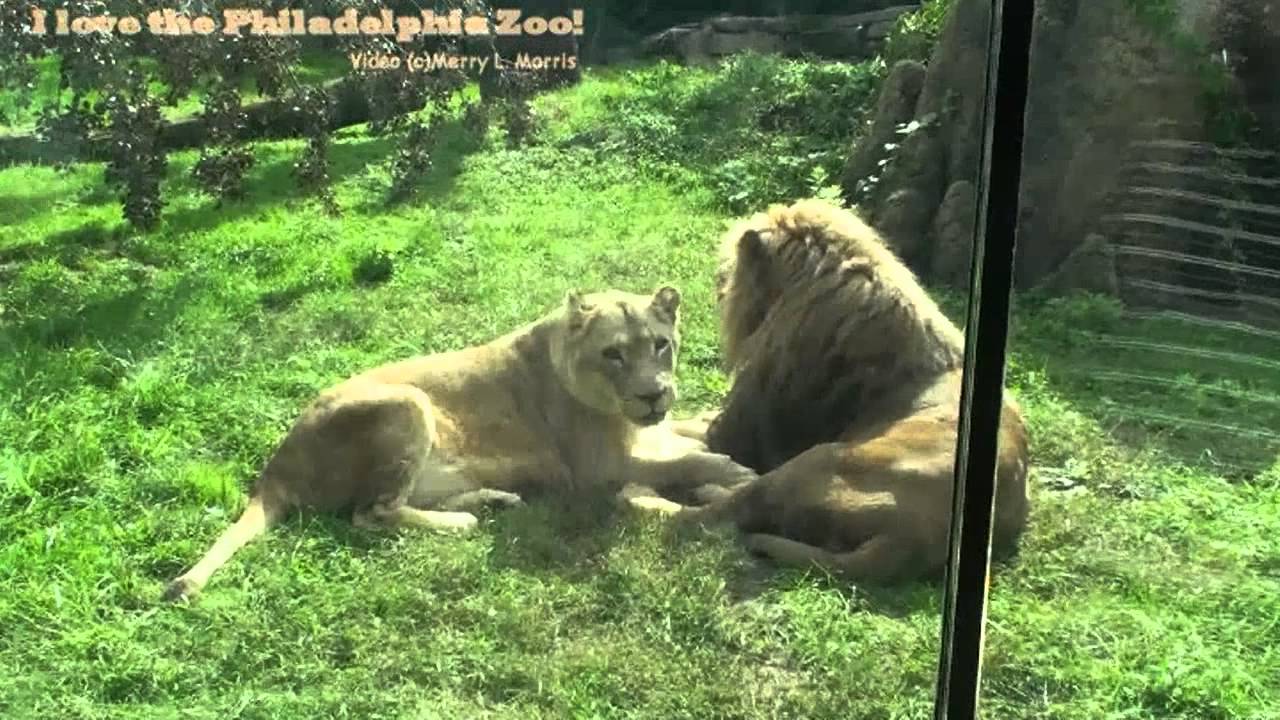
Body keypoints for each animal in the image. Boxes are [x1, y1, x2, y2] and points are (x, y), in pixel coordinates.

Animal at [163, 286, 756, 601]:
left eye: (660, 345)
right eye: (613, 354)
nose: (653, 394)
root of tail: (276, 467)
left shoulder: (653, 431)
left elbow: (690, 433)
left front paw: (711, 431)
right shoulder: (598, 467)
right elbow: (685, 461)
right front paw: (733, 470)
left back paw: (493, 500)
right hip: (409, 403)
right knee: (371, 514)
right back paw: (464, 520)